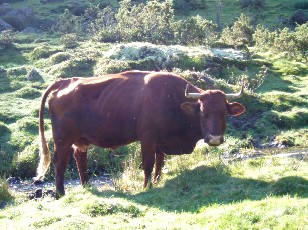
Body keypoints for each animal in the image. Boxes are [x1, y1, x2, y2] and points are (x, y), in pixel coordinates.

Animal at [34, 70, 245, 196]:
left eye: (224, 112)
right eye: (203, 112)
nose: (215, 139)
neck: (172, 101)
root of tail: (64, 81)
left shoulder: (161, 141)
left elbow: (159, 162)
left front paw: (157, 182)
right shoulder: (148, 138)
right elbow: (148, 163)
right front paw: (146, 186)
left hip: (80, 140)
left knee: (80, 160)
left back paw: (86, 186)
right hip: (62, 139)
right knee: (59, 163)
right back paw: (61, 193)